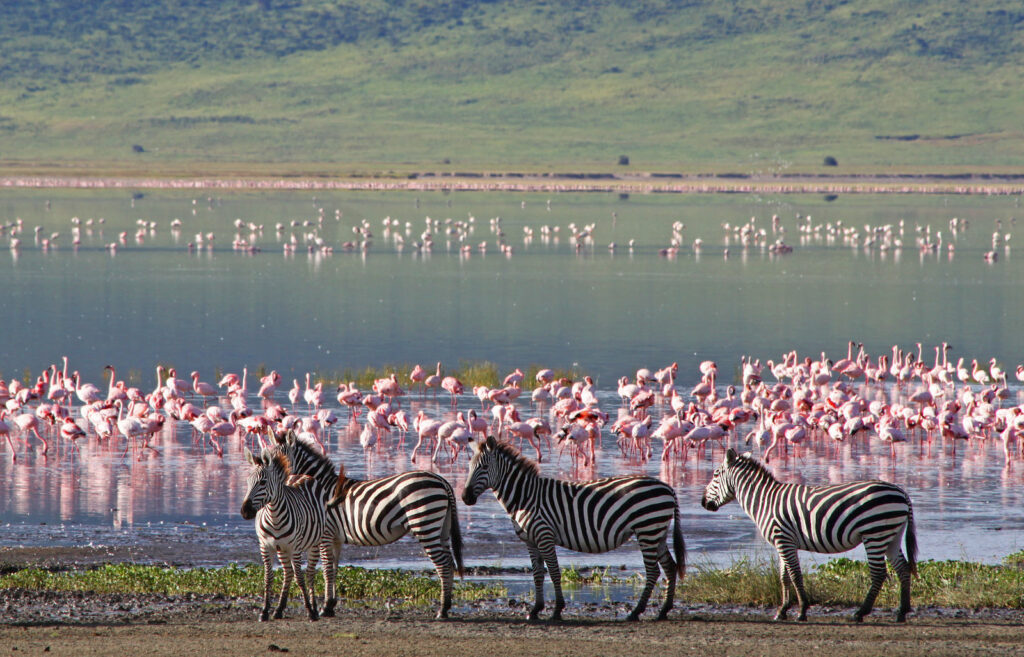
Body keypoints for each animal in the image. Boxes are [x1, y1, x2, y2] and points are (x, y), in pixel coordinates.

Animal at [239, 440, 323, 618]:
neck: (274, 516)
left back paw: (314, 607)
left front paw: (309, 610)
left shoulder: (295, 548)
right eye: (247, 482)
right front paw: (265, 610)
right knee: (288, 572)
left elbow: (300, 577)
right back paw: (278, 609)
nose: (245, 511)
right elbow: (268, 577)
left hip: (314, 543)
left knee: (310, 573)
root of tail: (301, 475)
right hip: (281, 548)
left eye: (262, 482)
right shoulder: (265, 546)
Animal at [272, 427, 464, 618]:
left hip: (425, 523)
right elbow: (334, 567)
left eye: (277, 461)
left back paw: (442, 610)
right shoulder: (336, 537)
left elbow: (327, 569)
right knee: (449, 561)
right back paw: (446, 606)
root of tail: (442, 481)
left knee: (442, 564)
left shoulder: (325, 534)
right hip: (441, 527)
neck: (319, 489)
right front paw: (331, 604)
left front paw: (325, 607)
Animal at [460, 433, 684, 618]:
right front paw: (536, 610)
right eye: (469, 467)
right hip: (657, 532)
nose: (464, 497)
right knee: (670, 567)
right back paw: (663, 610)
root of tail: (667, 487)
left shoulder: (545, 536)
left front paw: (557, 609)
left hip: (647, 530)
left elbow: (553, 572)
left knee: (653, 571)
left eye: (484, 468)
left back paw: (636, 612)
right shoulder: (531, 541)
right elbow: (537, 574)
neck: (525, 498)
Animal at [700, 448, 917, 622]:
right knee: (903, 569)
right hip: (891, 535)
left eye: (715, 474)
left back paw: (860, 613)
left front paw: (802, 611)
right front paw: (782, 610)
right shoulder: (782, 542)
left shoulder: (784, 540)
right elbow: (783, 577)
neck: (765, 500)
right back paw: (902, 612)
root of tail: (901, 492)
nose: (703, 503)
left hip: (874, 533)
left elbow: (795, 575)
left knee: (879, 573)